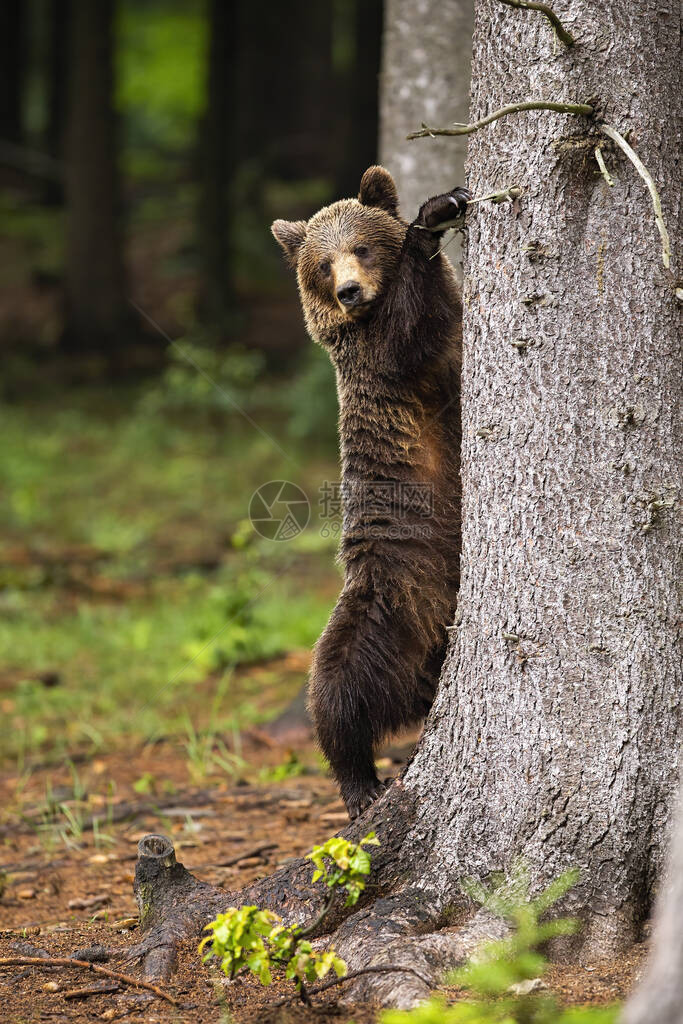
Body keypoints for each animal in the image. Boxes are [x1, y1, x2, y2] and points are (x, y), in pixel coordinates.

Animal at [272, 165, 471, 815]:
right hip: (385, 601)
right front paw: (434, 215)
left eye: (359, 247)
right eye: (323, 264)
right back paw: (360, 785)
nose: (350, 291)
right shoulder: (386, 362)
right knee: (338, 688)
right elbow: (408, 329)